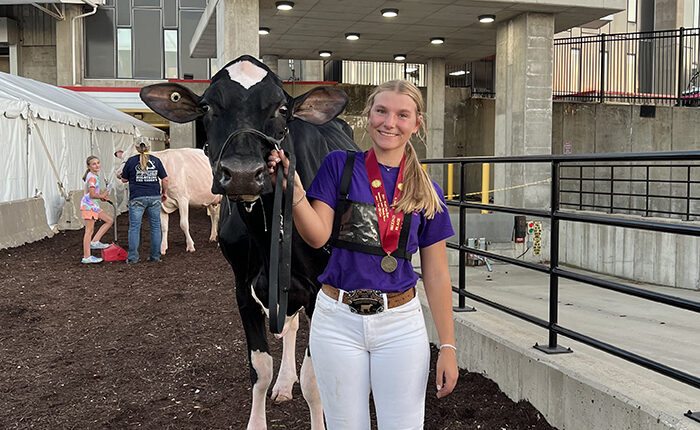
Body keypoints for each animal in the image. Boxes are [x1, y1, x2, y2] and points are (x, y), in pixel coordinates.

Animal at [141, 54, 360, 430]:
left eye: (282, 109)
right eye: (207, 107)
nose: (243, 173)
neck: (268, 230)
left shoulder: (319, 287)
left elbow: (314, 379)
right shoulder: (244, 286)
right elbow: (260, 369)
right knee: (290, 326)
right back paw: (285, 383)